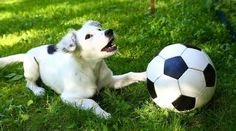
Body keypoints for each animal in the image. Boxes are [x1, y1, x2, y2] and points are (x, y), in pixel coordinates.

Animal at [0, 20, 147, 118]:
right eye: (88, 36)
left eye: (99, 30)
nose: (109, 31)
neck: (92, 69)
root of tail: (27, 53)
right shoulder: (68, 98)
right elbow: (91, 102)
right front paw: (104, 114)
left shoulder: (111, 81)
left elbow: (129, 75)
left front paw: (145, 75)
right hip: (32, 68)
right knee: (29, 83)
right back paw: (38, 90)